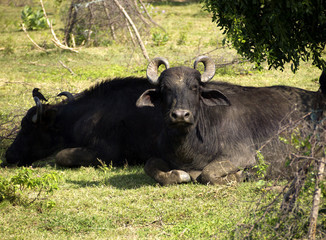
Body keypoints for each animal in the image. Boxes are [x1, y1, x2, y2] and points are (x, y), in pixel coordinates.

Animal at [136, 55, 324, 186]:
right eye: (165, 88)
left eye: (195, 87)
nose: (181, 115)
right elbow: (150, 165)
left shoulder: (242, 156)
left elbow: (208, 173)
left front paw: (238, 176)